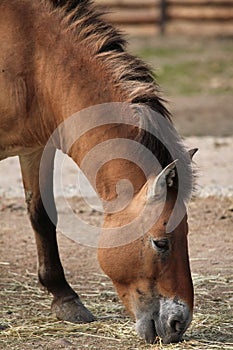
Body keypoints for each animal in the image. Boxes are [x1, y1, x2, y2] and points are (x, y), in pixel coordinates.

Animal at [0, 0, 197, 344]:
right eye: (161, 243)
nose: (179, 324)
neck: (34, 60)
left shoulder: (35, 149)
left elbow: (41, 215)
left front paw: (65, 298)